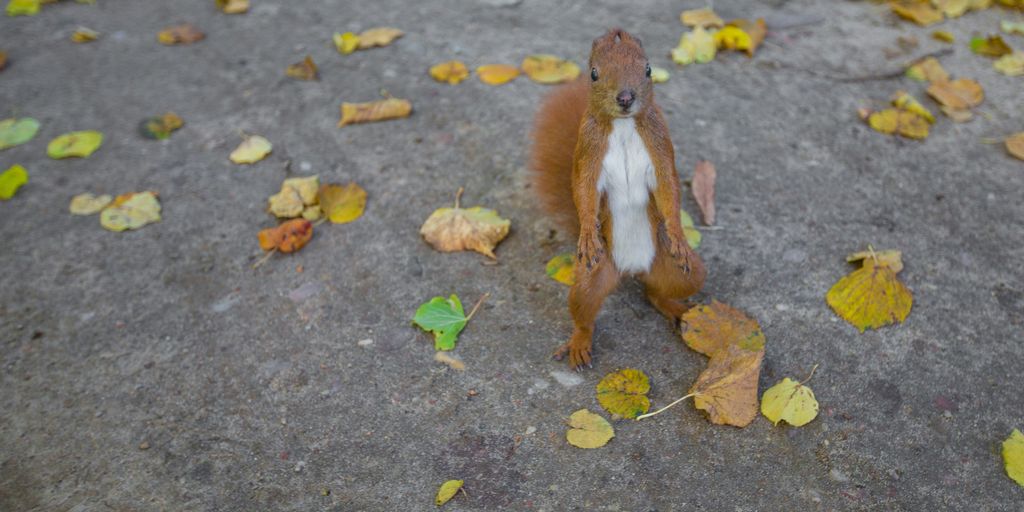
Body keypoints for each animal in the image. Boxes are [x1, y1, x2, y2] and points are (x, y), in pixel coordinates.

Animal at [529, 28, 706, 370]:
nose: (625, 98)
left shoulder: (660, 143)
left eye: (649, 69)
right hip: (592, 277)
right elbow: (583, 191)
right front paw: (587, 231)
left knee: (656, 292)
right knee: (584, 311)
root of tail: (632, 269)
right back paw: (579, 343)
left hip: (682, 271)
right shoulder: (588, 150)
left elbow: (668, 189)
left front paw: (678, 233)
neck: (623, 126)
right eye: (593, 73)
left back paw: (675, 307)